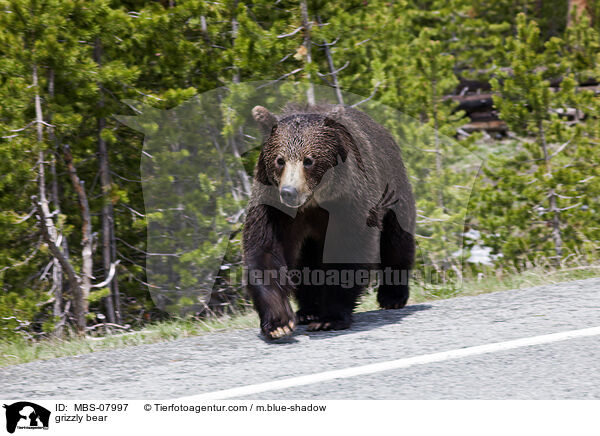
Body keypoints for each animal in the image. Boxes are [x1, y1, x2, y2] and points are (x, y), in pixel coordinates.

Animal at [241, 103, 414, 340]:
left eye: (308, 160)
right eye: (280, 160)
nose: (289, 192)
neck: (312, 203)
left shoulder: (350, 202)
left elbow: (349, 250)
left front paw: (330, 318)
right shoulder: (273, 209)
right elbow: (265, 251)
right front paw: (279, 323)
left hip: (392, 187)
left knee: (396, 239)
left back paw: (392, 296)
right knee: (307, 262)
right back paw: (308, 311)